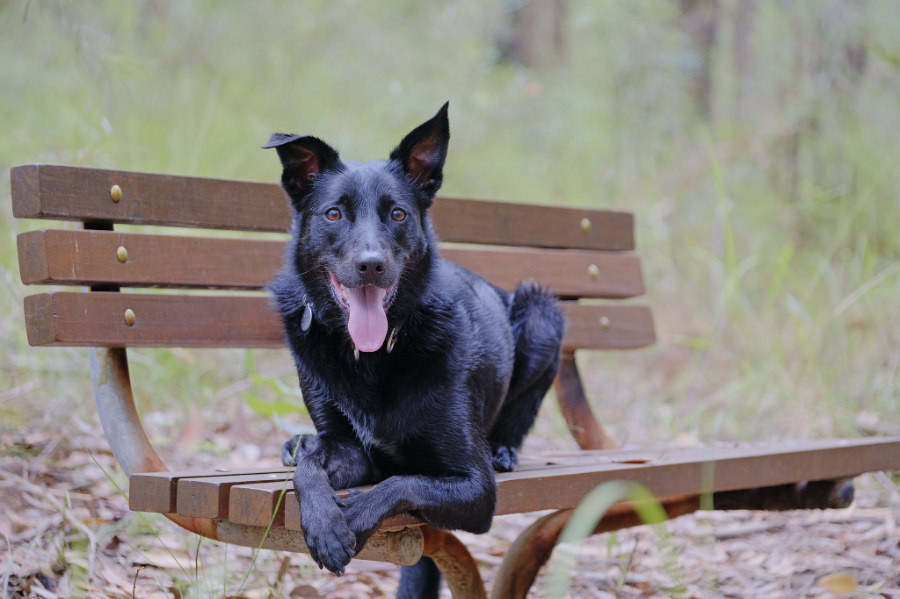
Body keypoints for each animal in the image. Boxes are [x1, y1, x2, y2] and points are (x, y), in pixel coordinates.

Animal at [264, 105, 568, 596]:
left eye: (398, 213)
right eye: (333, 213)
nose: (371, 265)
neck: (373, 357)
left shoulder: (474, 486)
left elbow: (401, 482)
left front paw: (352, 516)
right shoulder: (347, 449)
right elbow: (310, 464)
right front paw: (326, 523)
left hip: (543, 312)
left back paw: (503, 450)